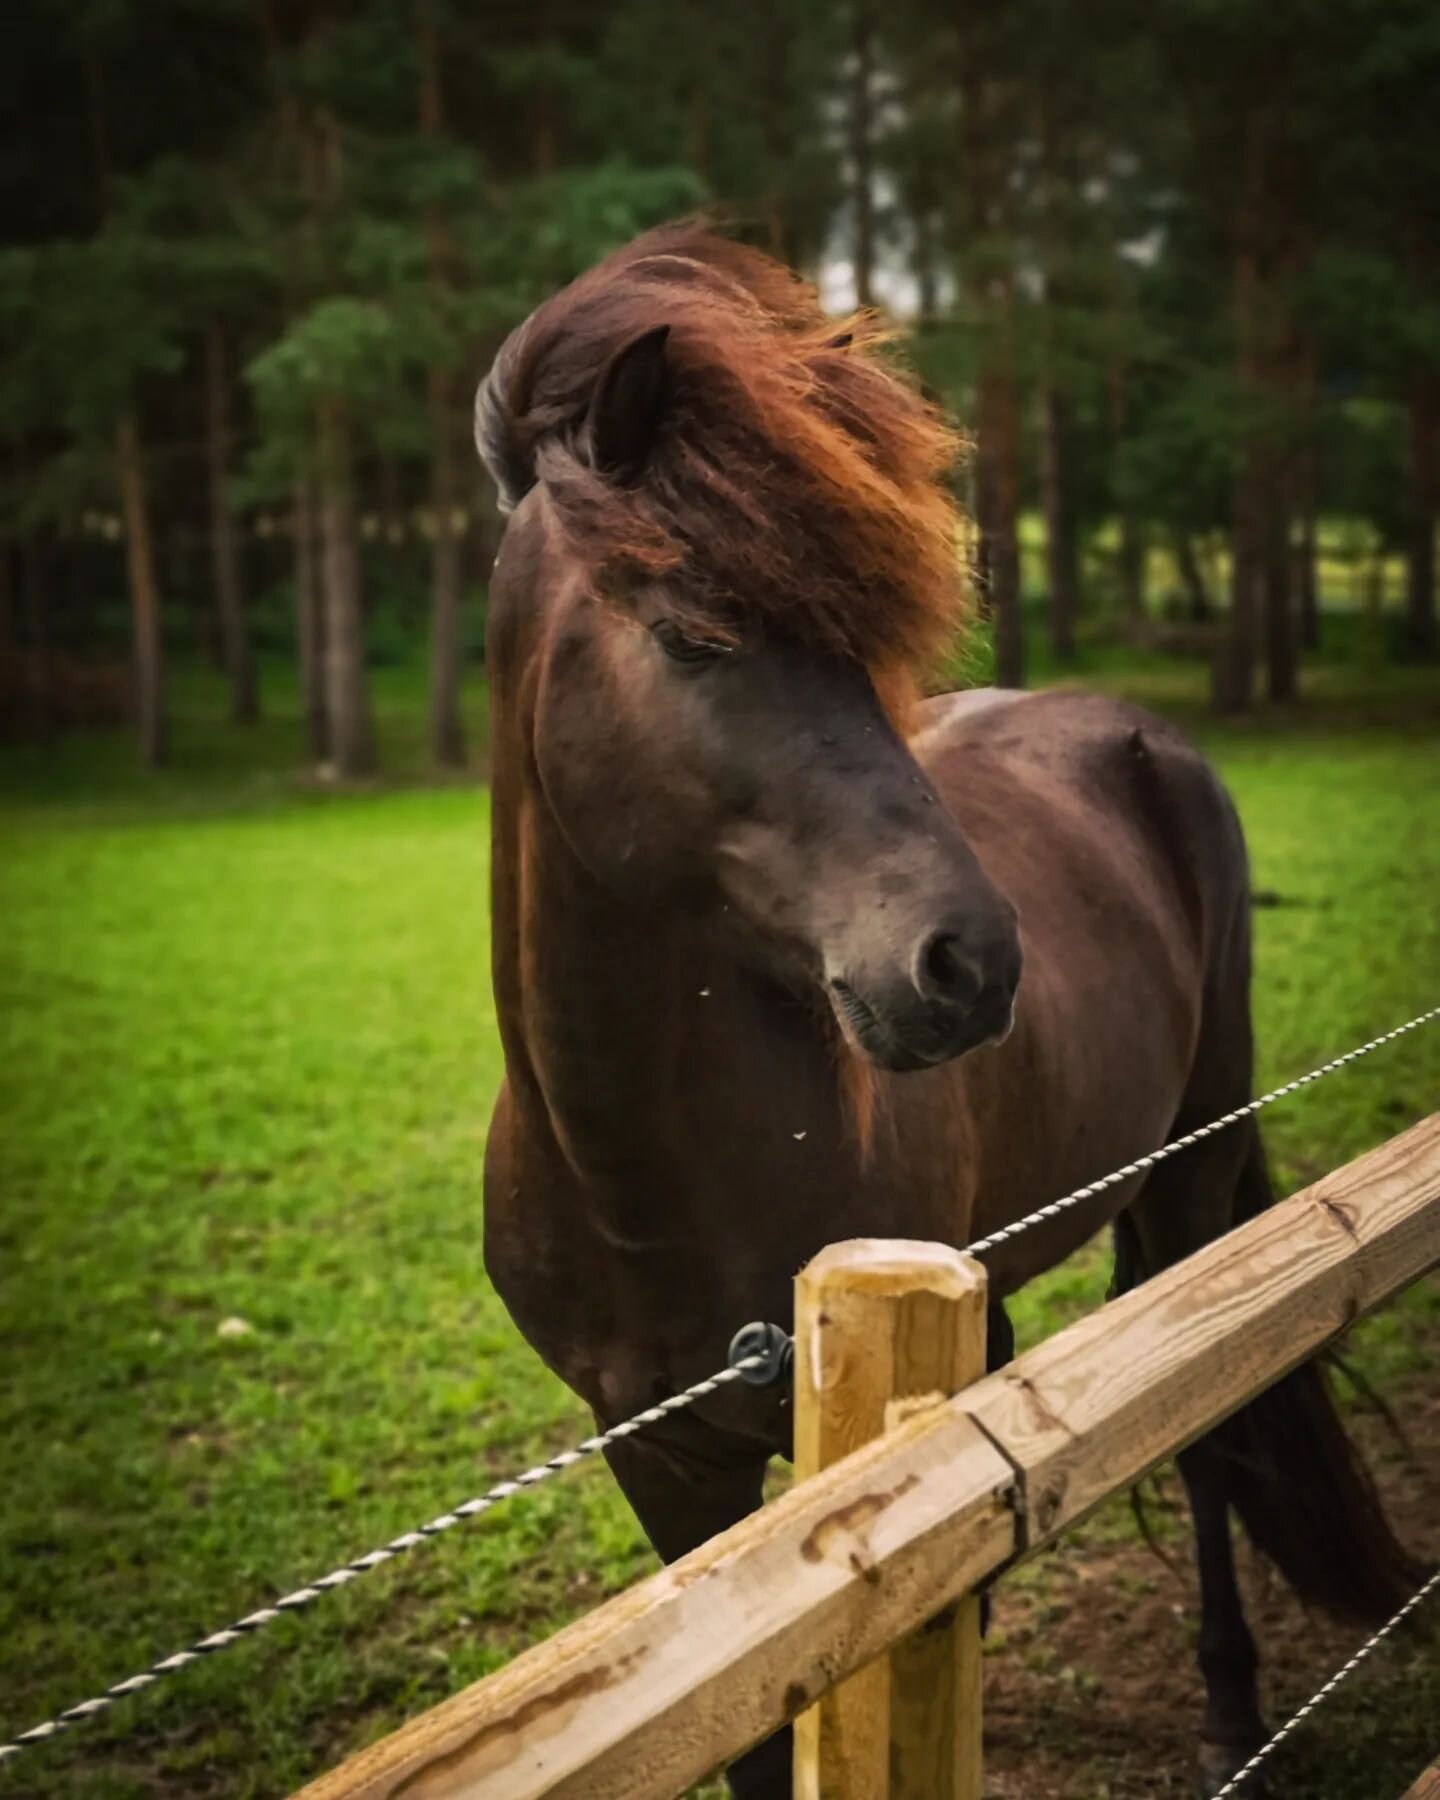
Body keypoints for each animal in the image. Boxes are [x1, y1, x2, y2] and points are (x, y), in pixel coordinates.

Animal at [475, 228, 1418, 1800]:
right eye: (693, 633)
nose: (971, 961)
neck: (636, 1180)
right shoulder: (663, 1466)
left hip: (1193, 1177)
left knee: (1210, 1437)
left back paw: (1232, 1707)